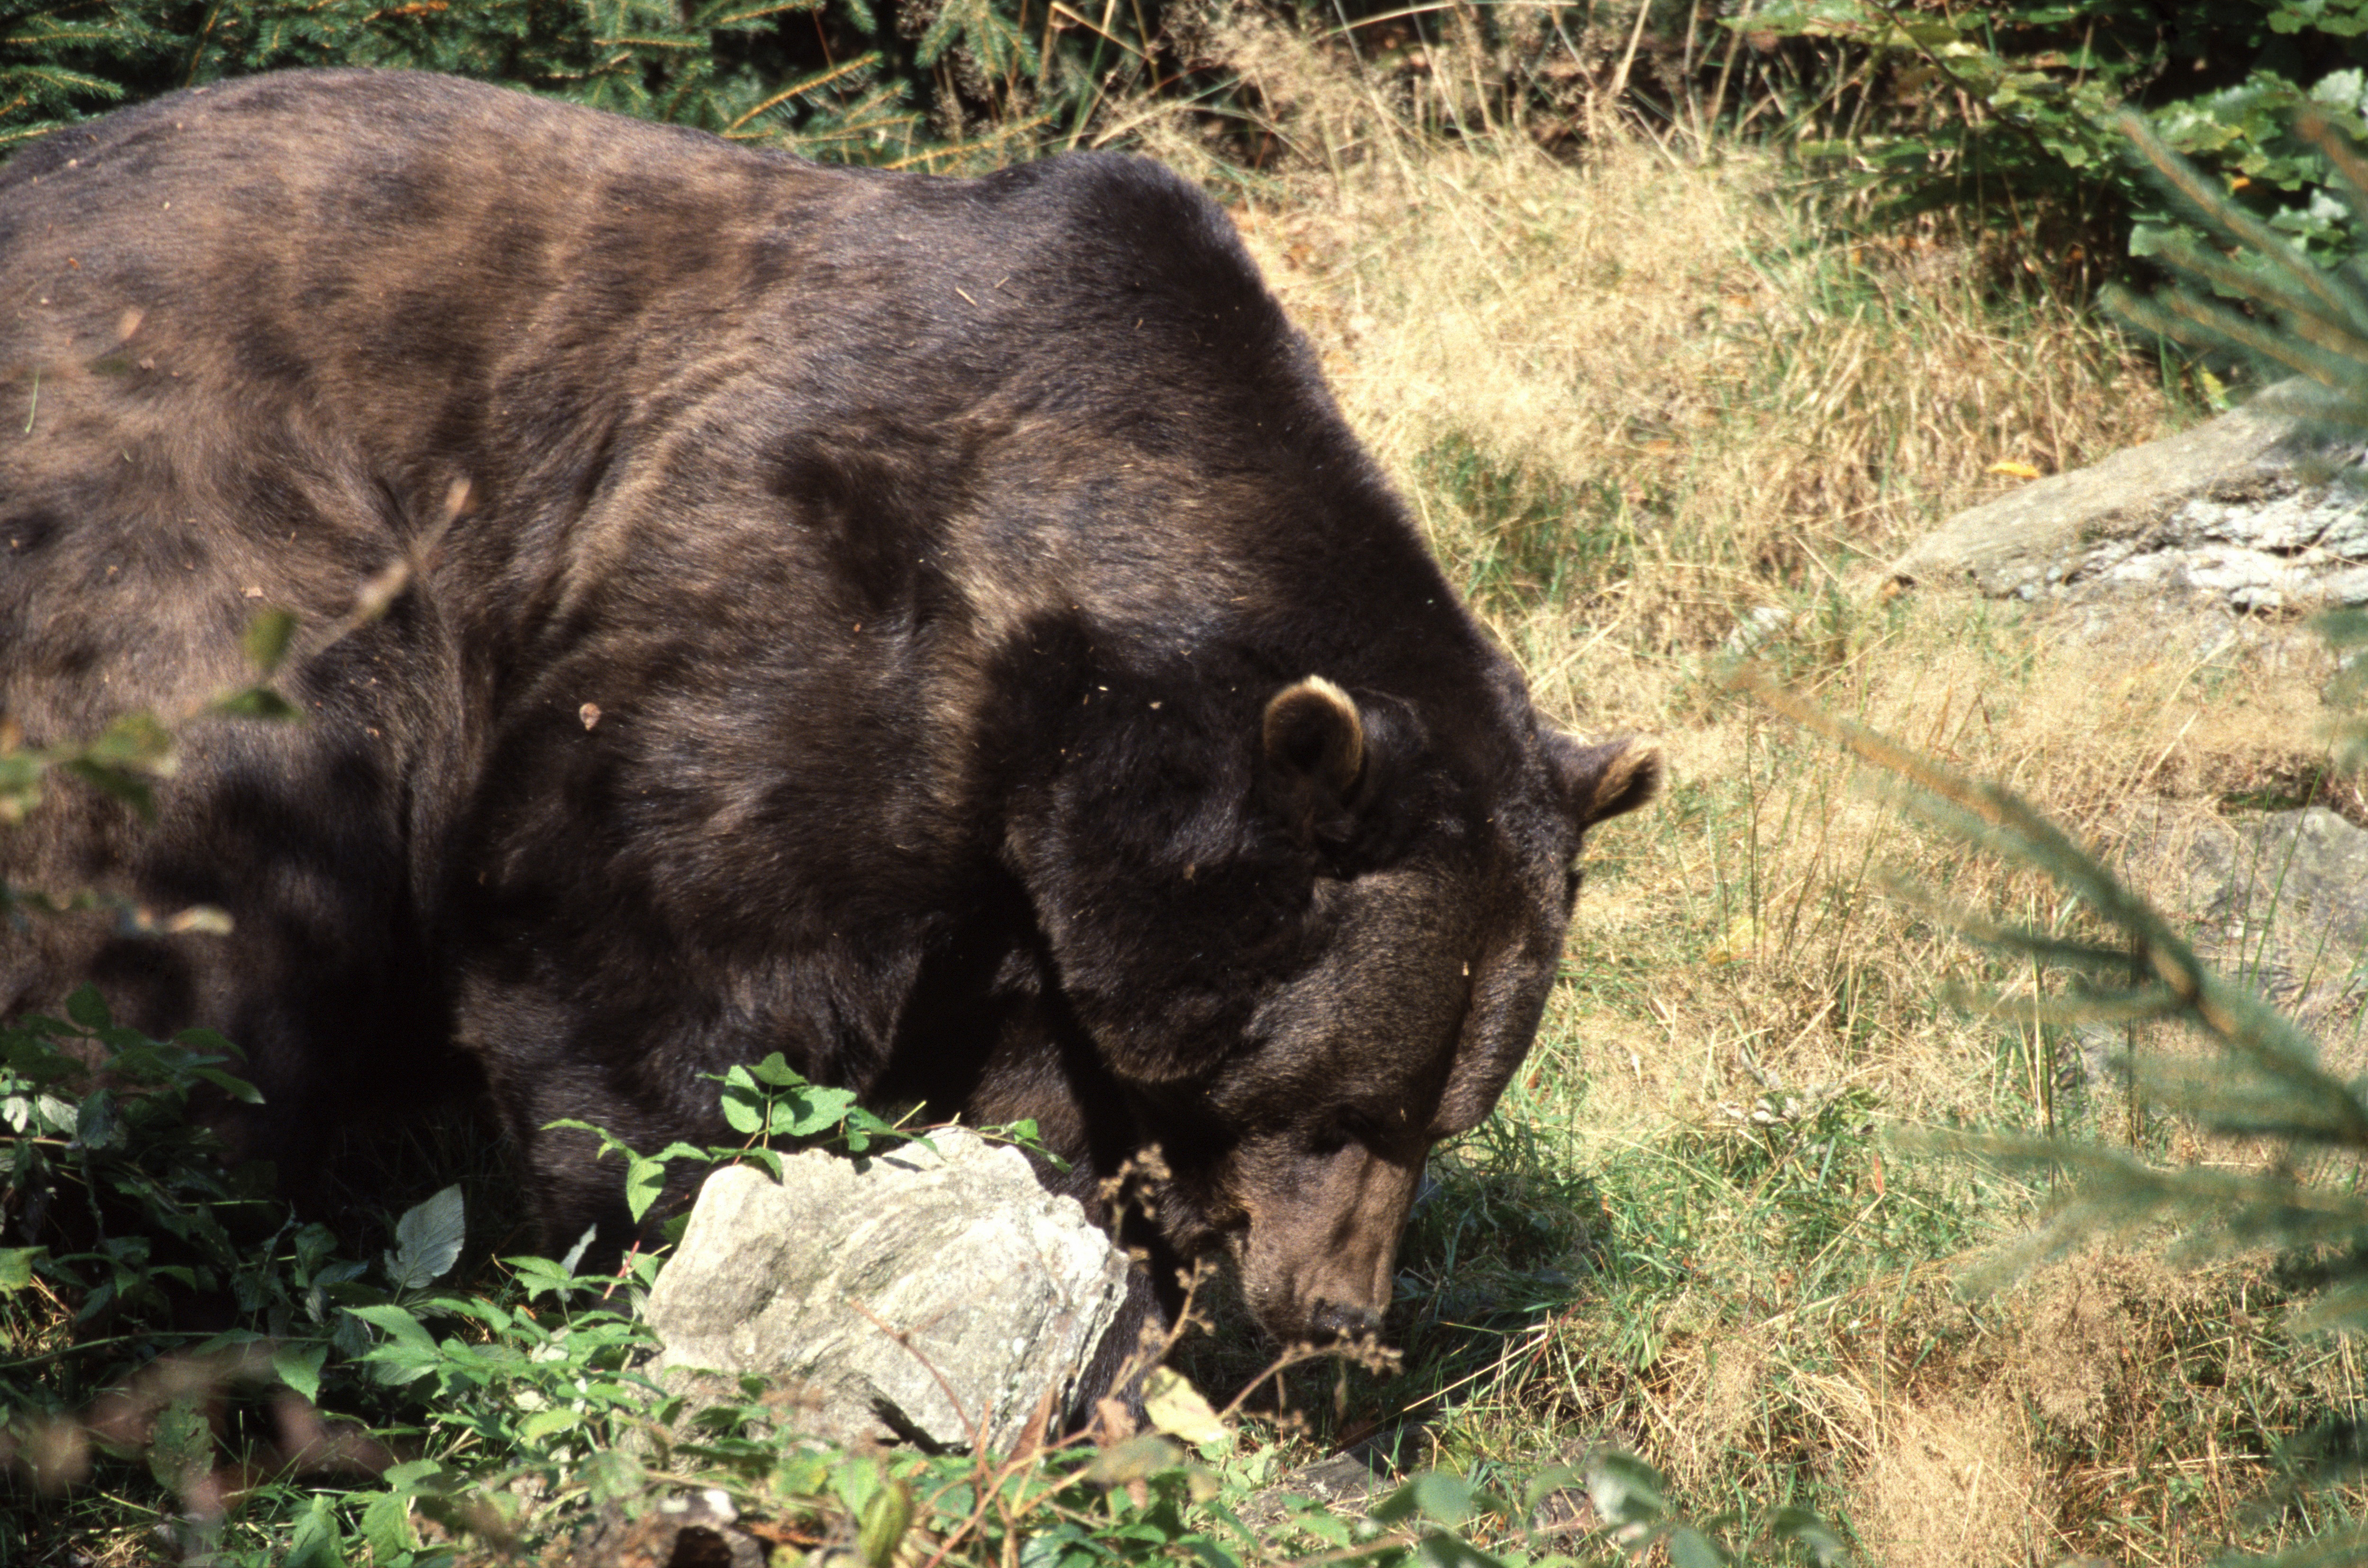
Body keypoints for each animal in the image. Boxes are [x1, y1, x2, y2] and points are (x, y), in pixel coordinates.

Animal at [0, 71, 1658, 1354]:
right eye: (1347, 1105)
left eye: (1447, 1116)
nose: (1341, 1311)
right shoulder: (786, 601)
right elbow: (637, 955)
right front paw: (666, 1236)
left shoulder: (1028, 857)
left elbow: (1042, 1089)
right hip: (185, 547)